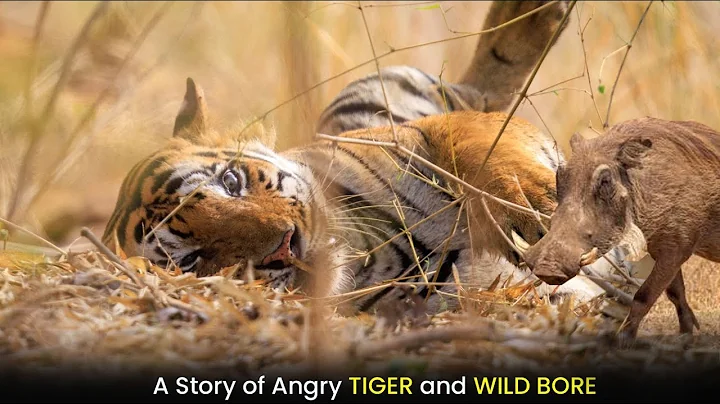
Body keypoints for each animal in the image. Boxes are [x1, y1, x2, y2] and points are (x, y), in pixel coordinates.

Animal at [102, 1, 639, 314]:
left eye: (231, 182)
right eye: (194, 260)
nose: (285, 245)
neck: (370, 250)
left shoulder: (418, 134)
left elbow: (481, 148)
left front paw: (537, 204)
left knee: (482, 88)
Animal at [523, 116, 720, 346]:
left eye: (606, 180)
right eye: (560, 175)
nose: (548, 268)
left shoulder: (677, 248)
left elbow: (644, 296)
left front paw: (624, 341)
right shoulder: (662, 248)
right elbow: (675, 294)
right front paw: (686, 336)